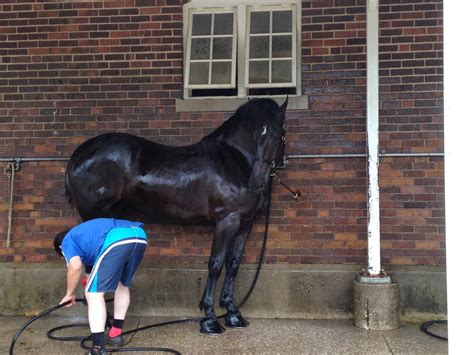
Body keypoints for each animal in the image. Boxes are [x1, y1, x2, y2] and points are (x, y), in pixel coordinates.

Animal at [64, 96, 286, 334]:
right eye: (255, 134)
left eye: (276, 134)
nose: (257, 181)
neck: (233, 163)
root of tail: (77, 156)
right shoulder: (226, 222)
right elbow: (216, 264)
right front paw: (210, 319)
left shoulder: (244, 225)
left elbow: (233, 264)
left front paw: (233, 314)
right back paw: (102, 323)